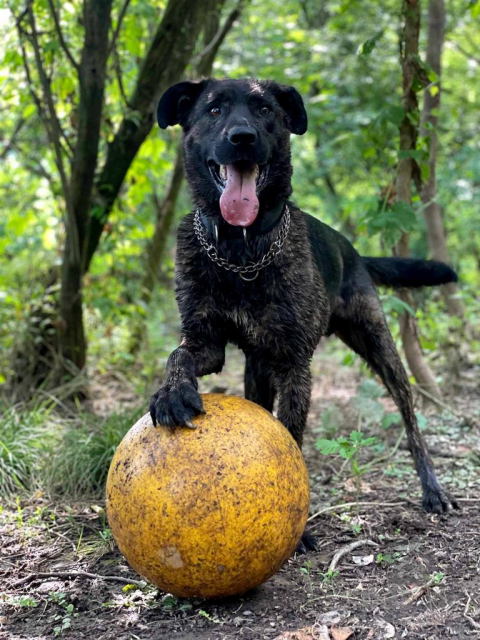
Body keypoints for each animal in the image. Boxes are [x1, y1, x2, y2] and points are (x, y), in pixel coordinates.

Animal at [149, 79, 458, 552]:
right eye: (214, 109)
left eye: (263, 110)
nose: (243, 138)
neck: (241, 251)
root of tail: (354, 253)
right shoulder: (206, 342)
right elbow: (177, 355)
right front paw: (172, 394)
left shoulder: (295, 365)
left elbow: (290, 437)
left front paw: (299, 525)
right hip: (257, 369)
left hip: (379, 345)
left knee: (411, 419)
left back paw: (432, 487)